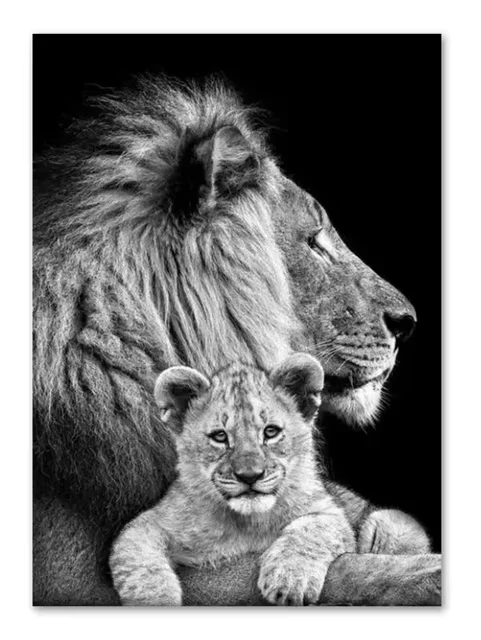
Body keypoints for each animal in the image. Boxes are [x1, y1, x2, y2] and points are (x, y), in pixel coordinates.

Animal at [110, 354, 355, 606]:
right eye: (219, 436)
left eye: (271, 432)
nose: (250, 475)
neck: (247, 523)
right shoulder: (146, 524)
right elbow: (141, 567)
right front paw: (157, 601)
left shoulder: (328, 511)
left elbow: (311, 530)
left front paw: (289, 581)